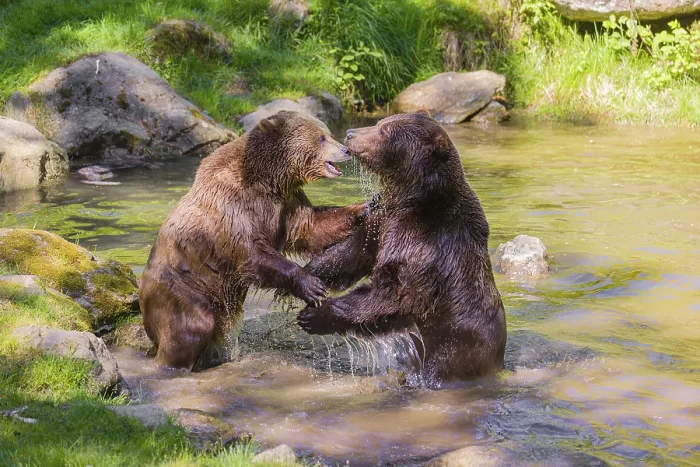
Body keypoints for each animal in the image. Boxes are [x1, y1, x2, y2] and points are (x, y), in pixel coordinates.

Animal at [139, 111, 367, 371]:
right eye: (321, 137)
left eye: (327, 132)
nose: (346, 150)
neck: (266, 179)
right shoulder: (233, 205)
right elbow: (251, 252)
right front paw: (312, 286)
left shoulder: (286, 202)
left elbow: (311, 227)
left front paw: (363, 207)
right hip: (180, 288)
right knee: (191, 327)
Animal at [298, 111, 507, 388]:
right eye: (379, 123)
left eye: (385, 132)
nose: (351, 133)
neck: (411, 199)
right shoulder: (383, 223)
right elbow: (352, 253)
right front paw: (305, 275)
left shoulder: (425, 245)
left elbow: (393, 295)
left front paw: (314, 316)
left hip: (454, 347)